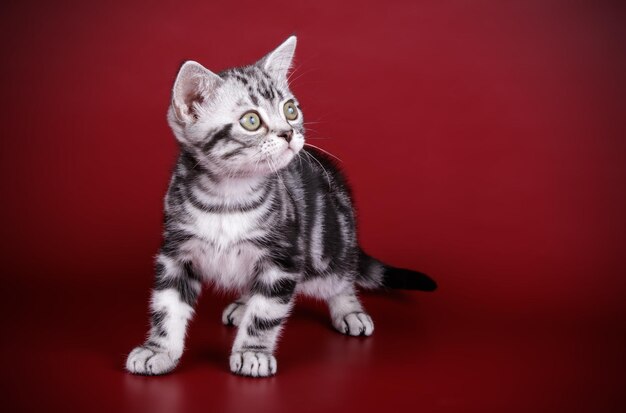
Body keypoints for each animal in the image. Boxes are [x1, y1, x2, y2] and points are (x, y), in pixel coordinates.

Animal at [125, 36, 436, 376]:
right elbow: (166, 307)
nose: (289, 133)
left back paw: (349, 310)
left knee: (342, 279)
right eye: (251, 120)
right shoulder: (176, 253)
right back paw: (243, 304)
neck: (227, 197)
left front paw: (253, 352)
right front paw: (158, 350)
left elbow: (265, 313)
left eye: (290, 109)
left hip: (331, 249)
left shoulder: (283, 258)